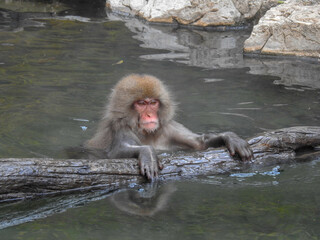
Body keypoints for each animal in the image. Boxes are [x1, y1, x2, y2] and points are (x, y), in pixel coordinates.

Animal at [87, 74, 252, 179]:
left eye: (153, 103)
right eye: (141, 103)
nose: (149, 115)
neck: (147, 133)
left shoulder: (168, 128)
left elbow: (200, 143)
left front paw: (229, 137)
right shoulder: (120, 127)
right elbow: (114, 153)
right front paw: (148, 153)